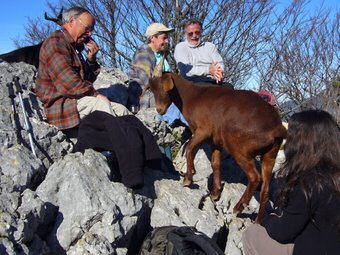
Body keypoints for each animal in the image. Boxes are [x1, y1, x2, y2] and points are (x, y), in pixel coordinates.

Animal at [143, 58, 286, 223]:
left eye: (163, 87)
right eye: (152, 89)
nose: (160, 110)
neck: (192, 96)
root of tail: (277, 128)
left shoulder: (203, 130)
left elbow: (190, 148)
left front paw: (188, 179)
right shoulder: (216, 140)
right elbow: (215, 163)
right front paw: (216, 193)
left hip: (239, 149)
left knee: (255, 178)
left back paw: (238, 207)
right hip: (270, 155)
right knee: (265, 189)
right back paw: (257, 222)